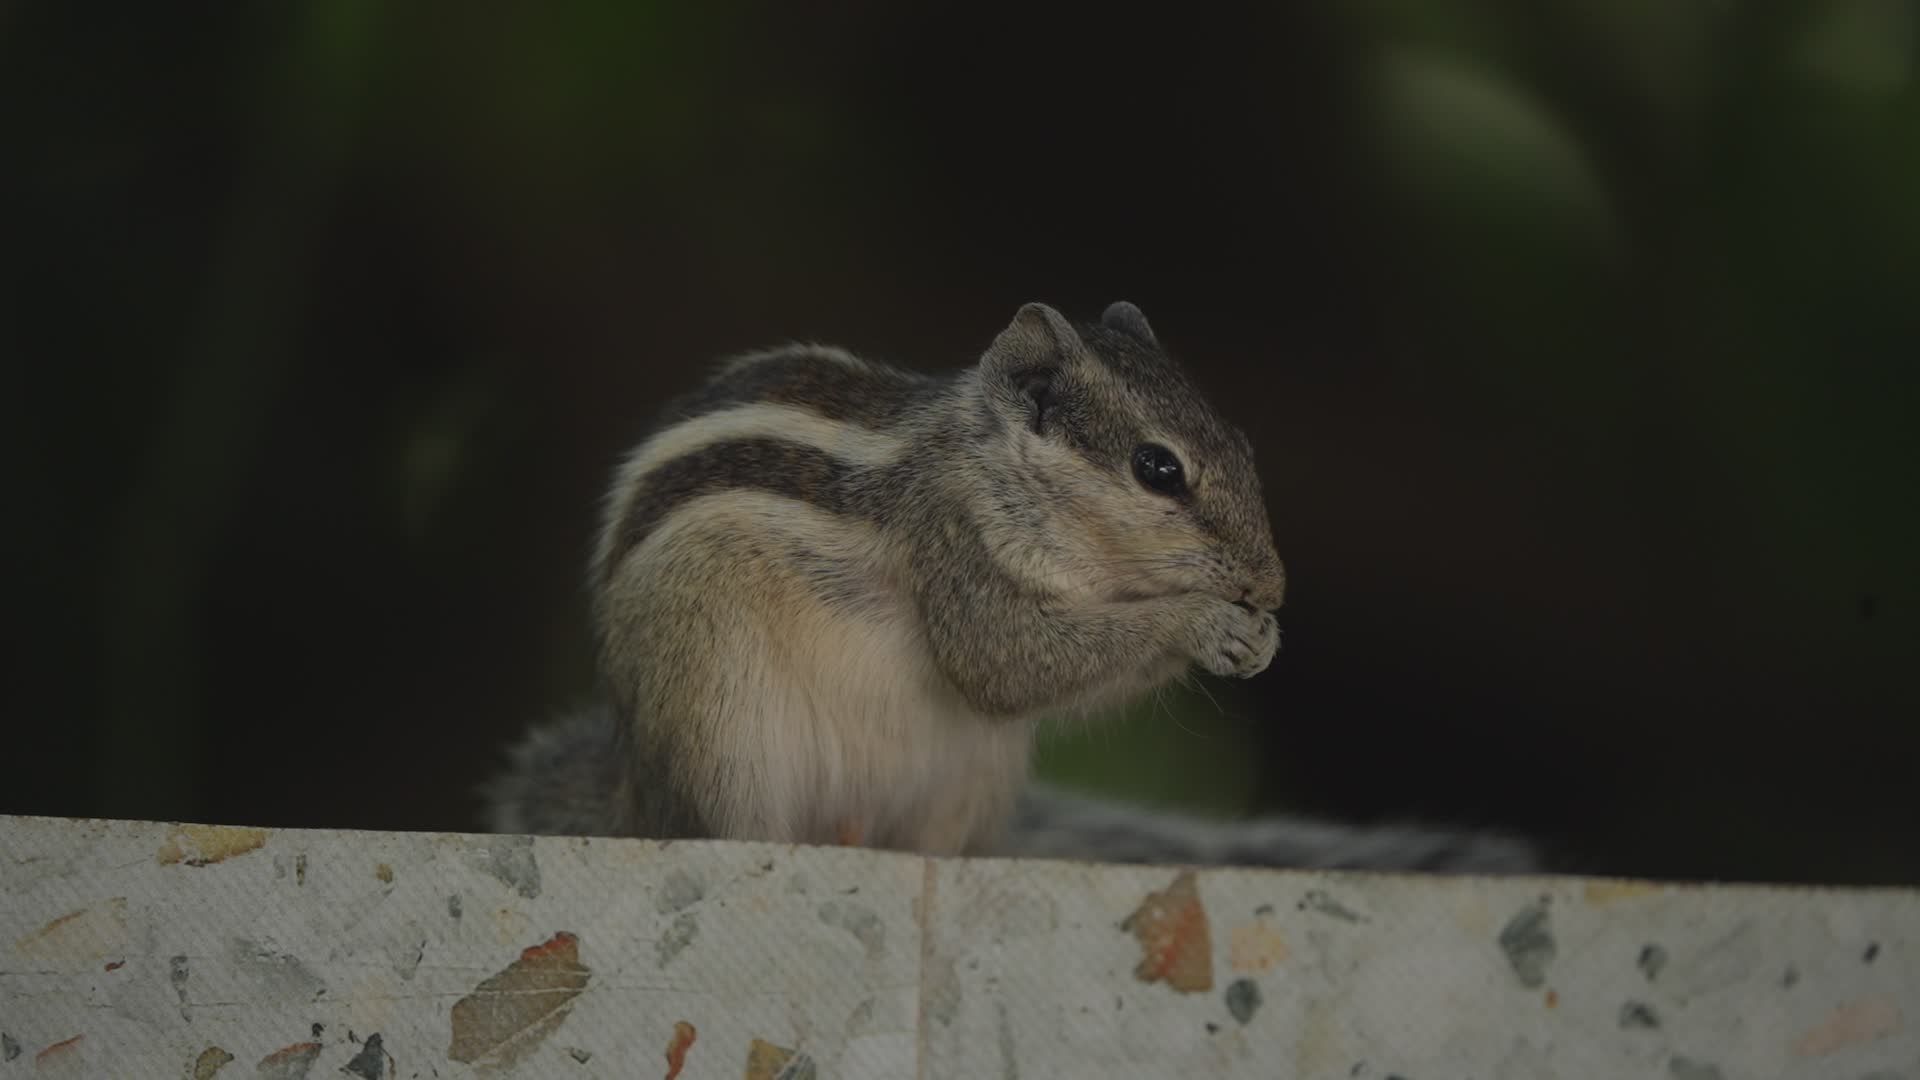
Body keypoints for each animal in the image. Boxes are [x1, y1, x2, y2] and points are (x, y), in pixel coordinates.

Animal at [484, 301, 1542, 873]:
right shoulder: (952, 546)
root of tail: (635, 792)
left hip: (965, 782)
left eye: (1243, 445)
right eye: (1159, 469)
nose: (1271, 584)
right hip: (720, 724)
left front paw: (1258, 632)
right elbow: (1005, 662)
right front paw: (1203, 622)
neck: (992, 464)